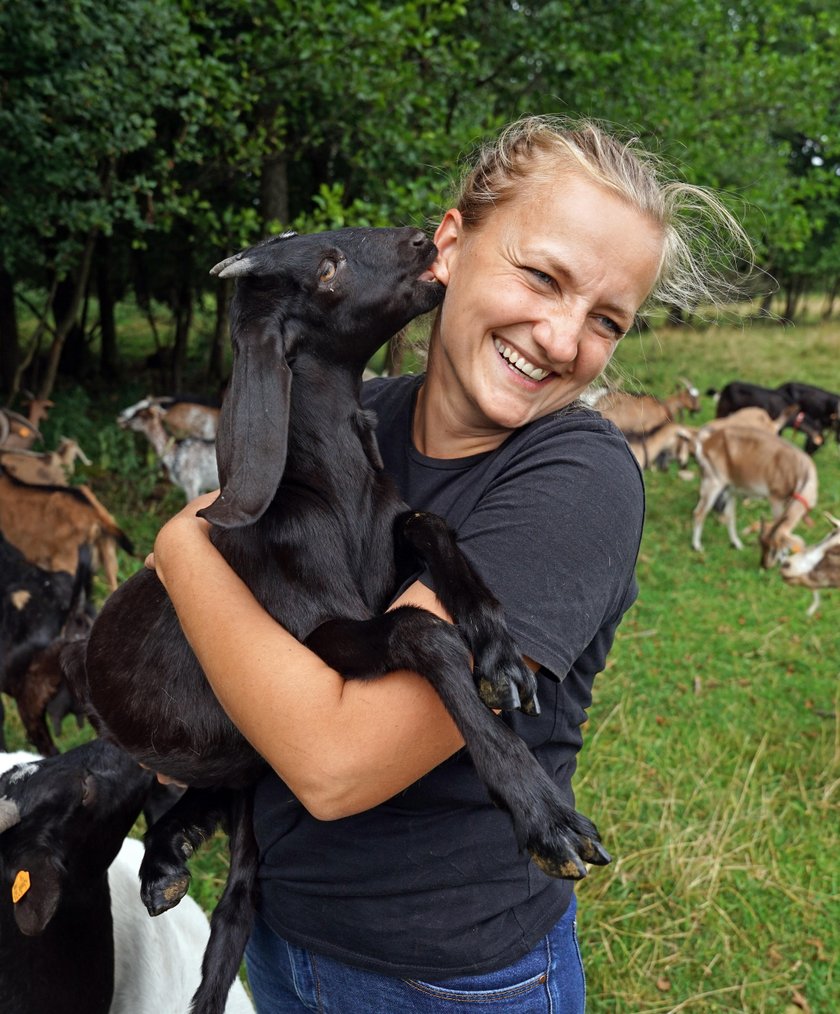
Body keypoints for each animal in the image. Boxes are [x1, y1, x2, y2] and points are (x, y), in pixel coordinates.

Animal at [685, 425, 815, 571]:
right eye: (762, 543)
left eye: (772, 547)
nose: (764, 565)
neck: (801, 470)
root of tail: (705, 444)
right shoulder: (775, 498)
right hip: (713, 483)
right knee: (699, 512)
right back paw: (697, 546)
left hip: (731, 489)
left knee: (729, 516)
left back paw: (737, 545)